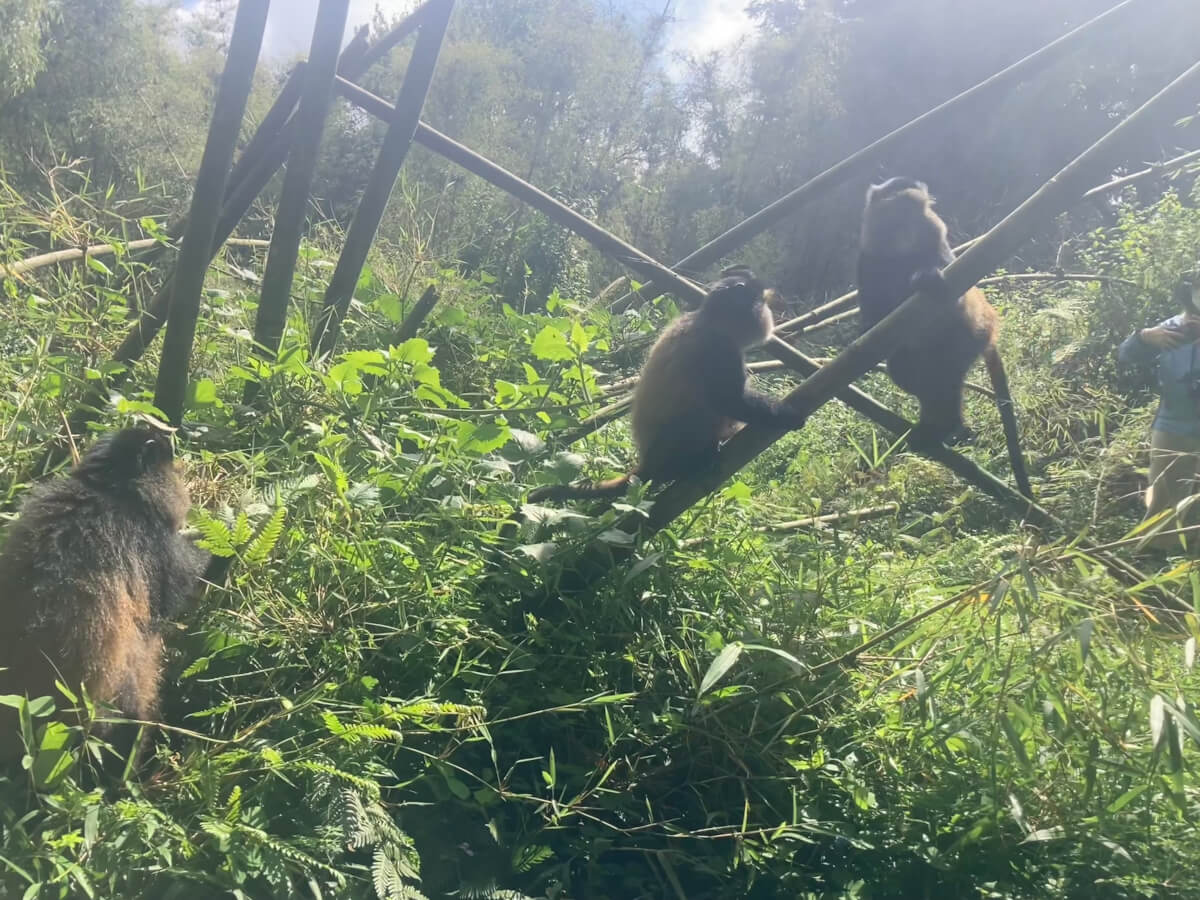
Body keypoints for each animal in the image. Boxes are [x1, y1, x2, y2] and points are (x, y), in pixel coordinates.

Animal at [528, 267, 807, 503]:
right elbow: (729, 401)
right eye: (760, 304)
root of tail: (648, 464)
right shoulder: (719, 349)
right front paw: (789, 415)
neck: (707, 320)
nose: (768, 315)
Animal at [856, 177, 1033, 499]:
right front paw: (866, 331)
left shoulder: (939, 247)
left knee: (945, 372)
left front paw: (925, 278)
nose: (908, 230)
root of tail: (990, 329)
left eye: (915, 215)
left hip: (969, 338)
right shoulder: (867, 258)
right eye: (897, 213)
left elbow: (952, 291)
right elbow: (874, 314)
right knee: (908, 372)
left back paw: (948, 426)